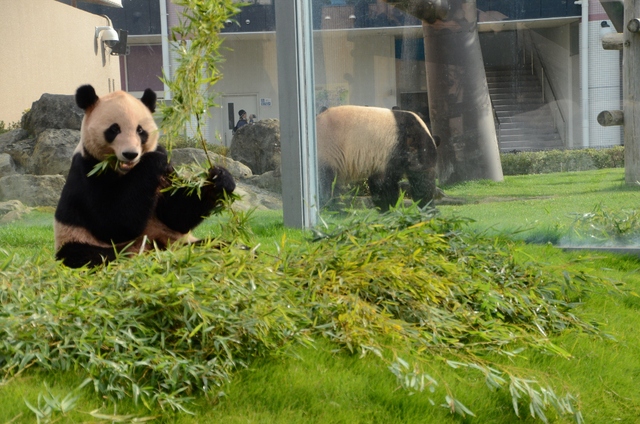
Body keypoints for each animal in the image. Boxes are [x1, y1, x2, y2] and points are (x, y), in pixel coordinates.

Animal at [55, 84, 235, 266]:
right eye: (114, 129)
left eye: (140, 130)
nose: (130, 154)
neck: (129, 171)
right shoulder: (88, 169)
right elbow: (112, 222)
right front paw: (154, 160)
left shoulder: (165, 174)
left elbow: (176, 215)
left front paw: (220, 179)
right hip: (78, 239)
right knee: (89, 256)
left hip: (179, 241)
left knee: (218, 244)